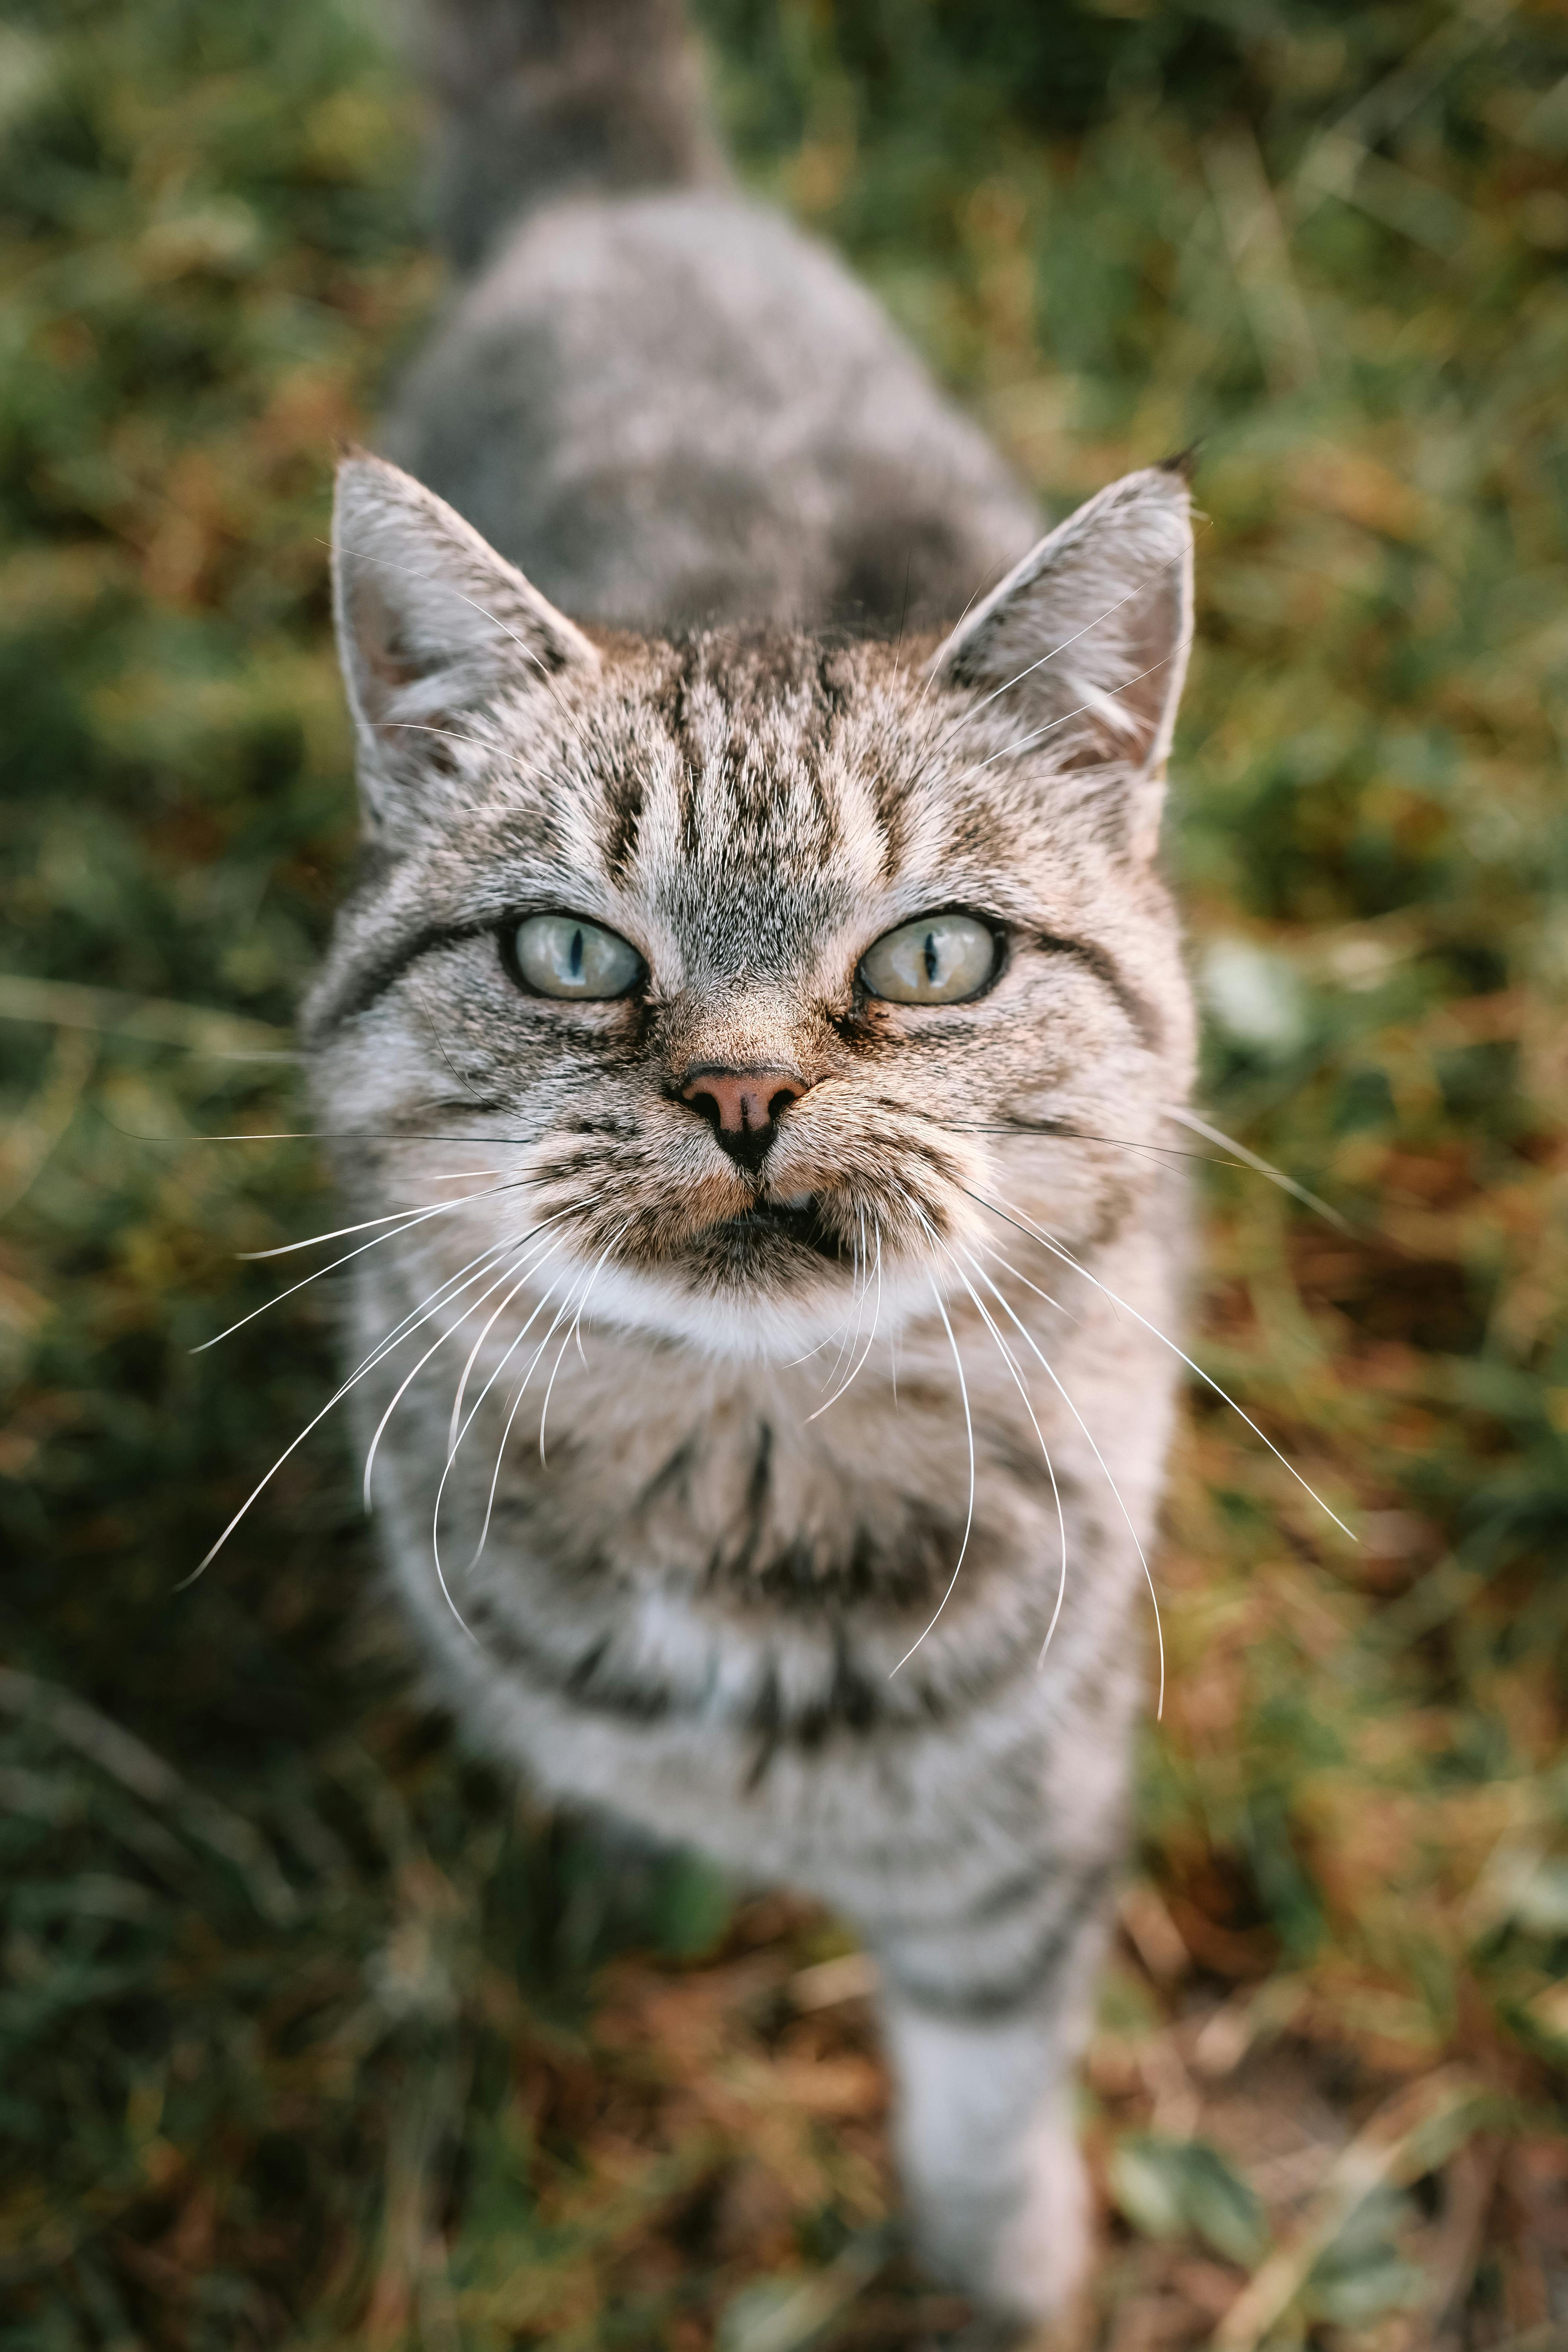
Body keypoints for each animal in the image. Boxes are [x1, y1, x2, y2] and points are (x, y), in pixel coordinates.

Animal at [303, 0, 1189, 2314]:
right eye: (570, 952)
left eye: (936, 954)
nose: (740, 1092)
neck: (751, 1481)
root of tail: (631, 200)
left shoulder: (1023, 1822)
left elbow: (984, 2078)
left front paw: (1000, 2275)